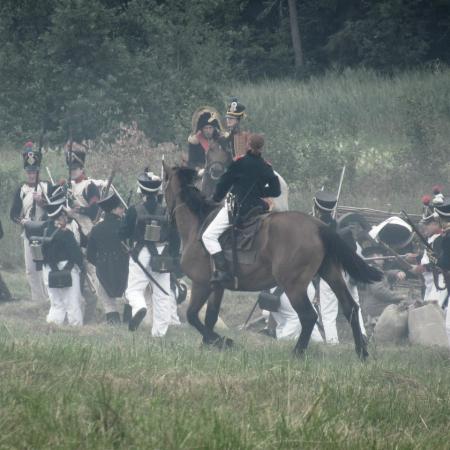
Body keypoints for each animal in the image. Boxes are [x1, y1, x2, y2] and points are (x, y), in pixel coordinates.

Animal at [163, 164, 382, 358]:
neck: (198, 225)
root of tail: (318, 226)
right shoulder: (217, 286)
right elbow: (210, 316)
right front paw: (209, 345)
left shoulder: (201, 284)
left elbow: (193, 316)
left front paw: (223, 341)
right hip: (331, 274)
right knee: (350, 308)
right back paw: (361, 352)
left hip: (294, 285)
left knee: (309, 316)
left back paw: (297, 353)